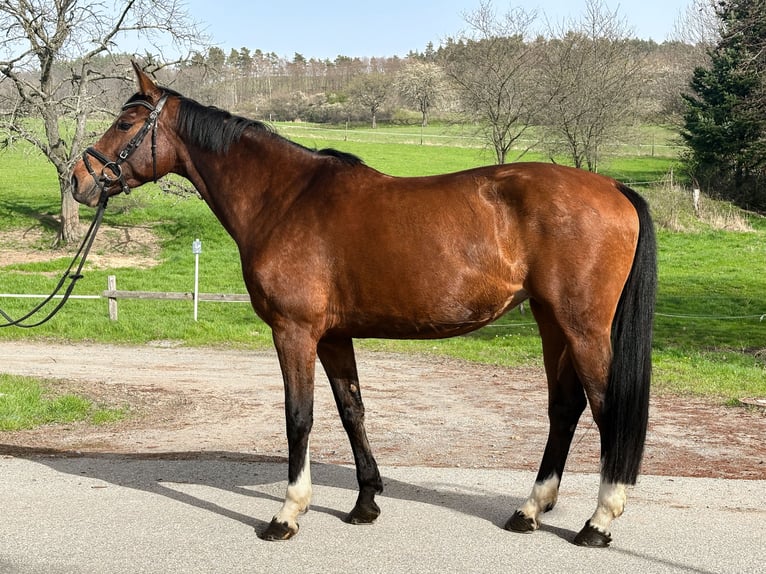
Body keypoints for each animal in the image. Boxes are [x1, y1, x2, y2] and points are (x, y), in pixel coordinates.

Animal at [72, 63, 656, 548]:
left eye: (124, 123)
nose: (80, 180)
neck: (285, 199)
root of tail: (614, 188)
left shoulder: (295, 331)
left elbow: (299, 416)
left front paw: (287, 514)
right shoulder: (333, 335)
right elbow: (351, 410)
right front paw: (365, 503)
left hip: (582, 327)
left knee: (606, 409)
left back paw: (598, 522)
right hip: (551, 322)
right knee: (565, 407)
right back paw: (530, 509)